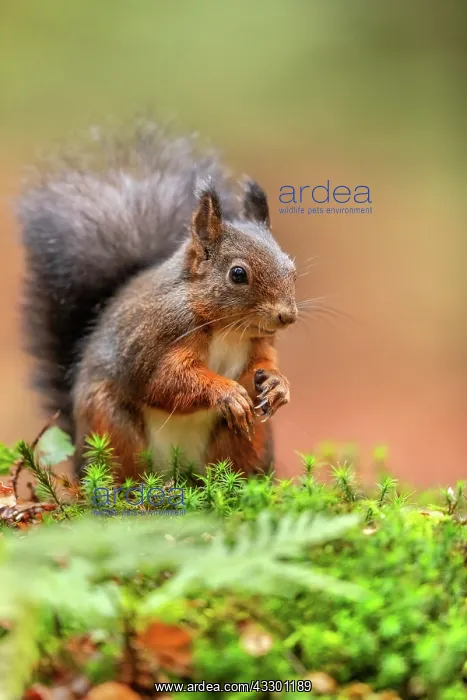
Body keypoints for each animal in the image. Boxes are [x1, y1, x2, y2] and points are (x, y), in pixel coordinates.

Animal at [18, 121, 298, 479]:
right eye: (238, 274)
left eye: (291, 267)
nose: (287, 316)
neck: (227, 329)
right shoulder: (158, 339)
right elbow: (166, 382)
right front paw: (226, 392)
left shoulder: (257, 344)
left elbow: (259, 368)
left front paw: (278, 384)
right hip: (111, 426)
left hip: (248, 438)